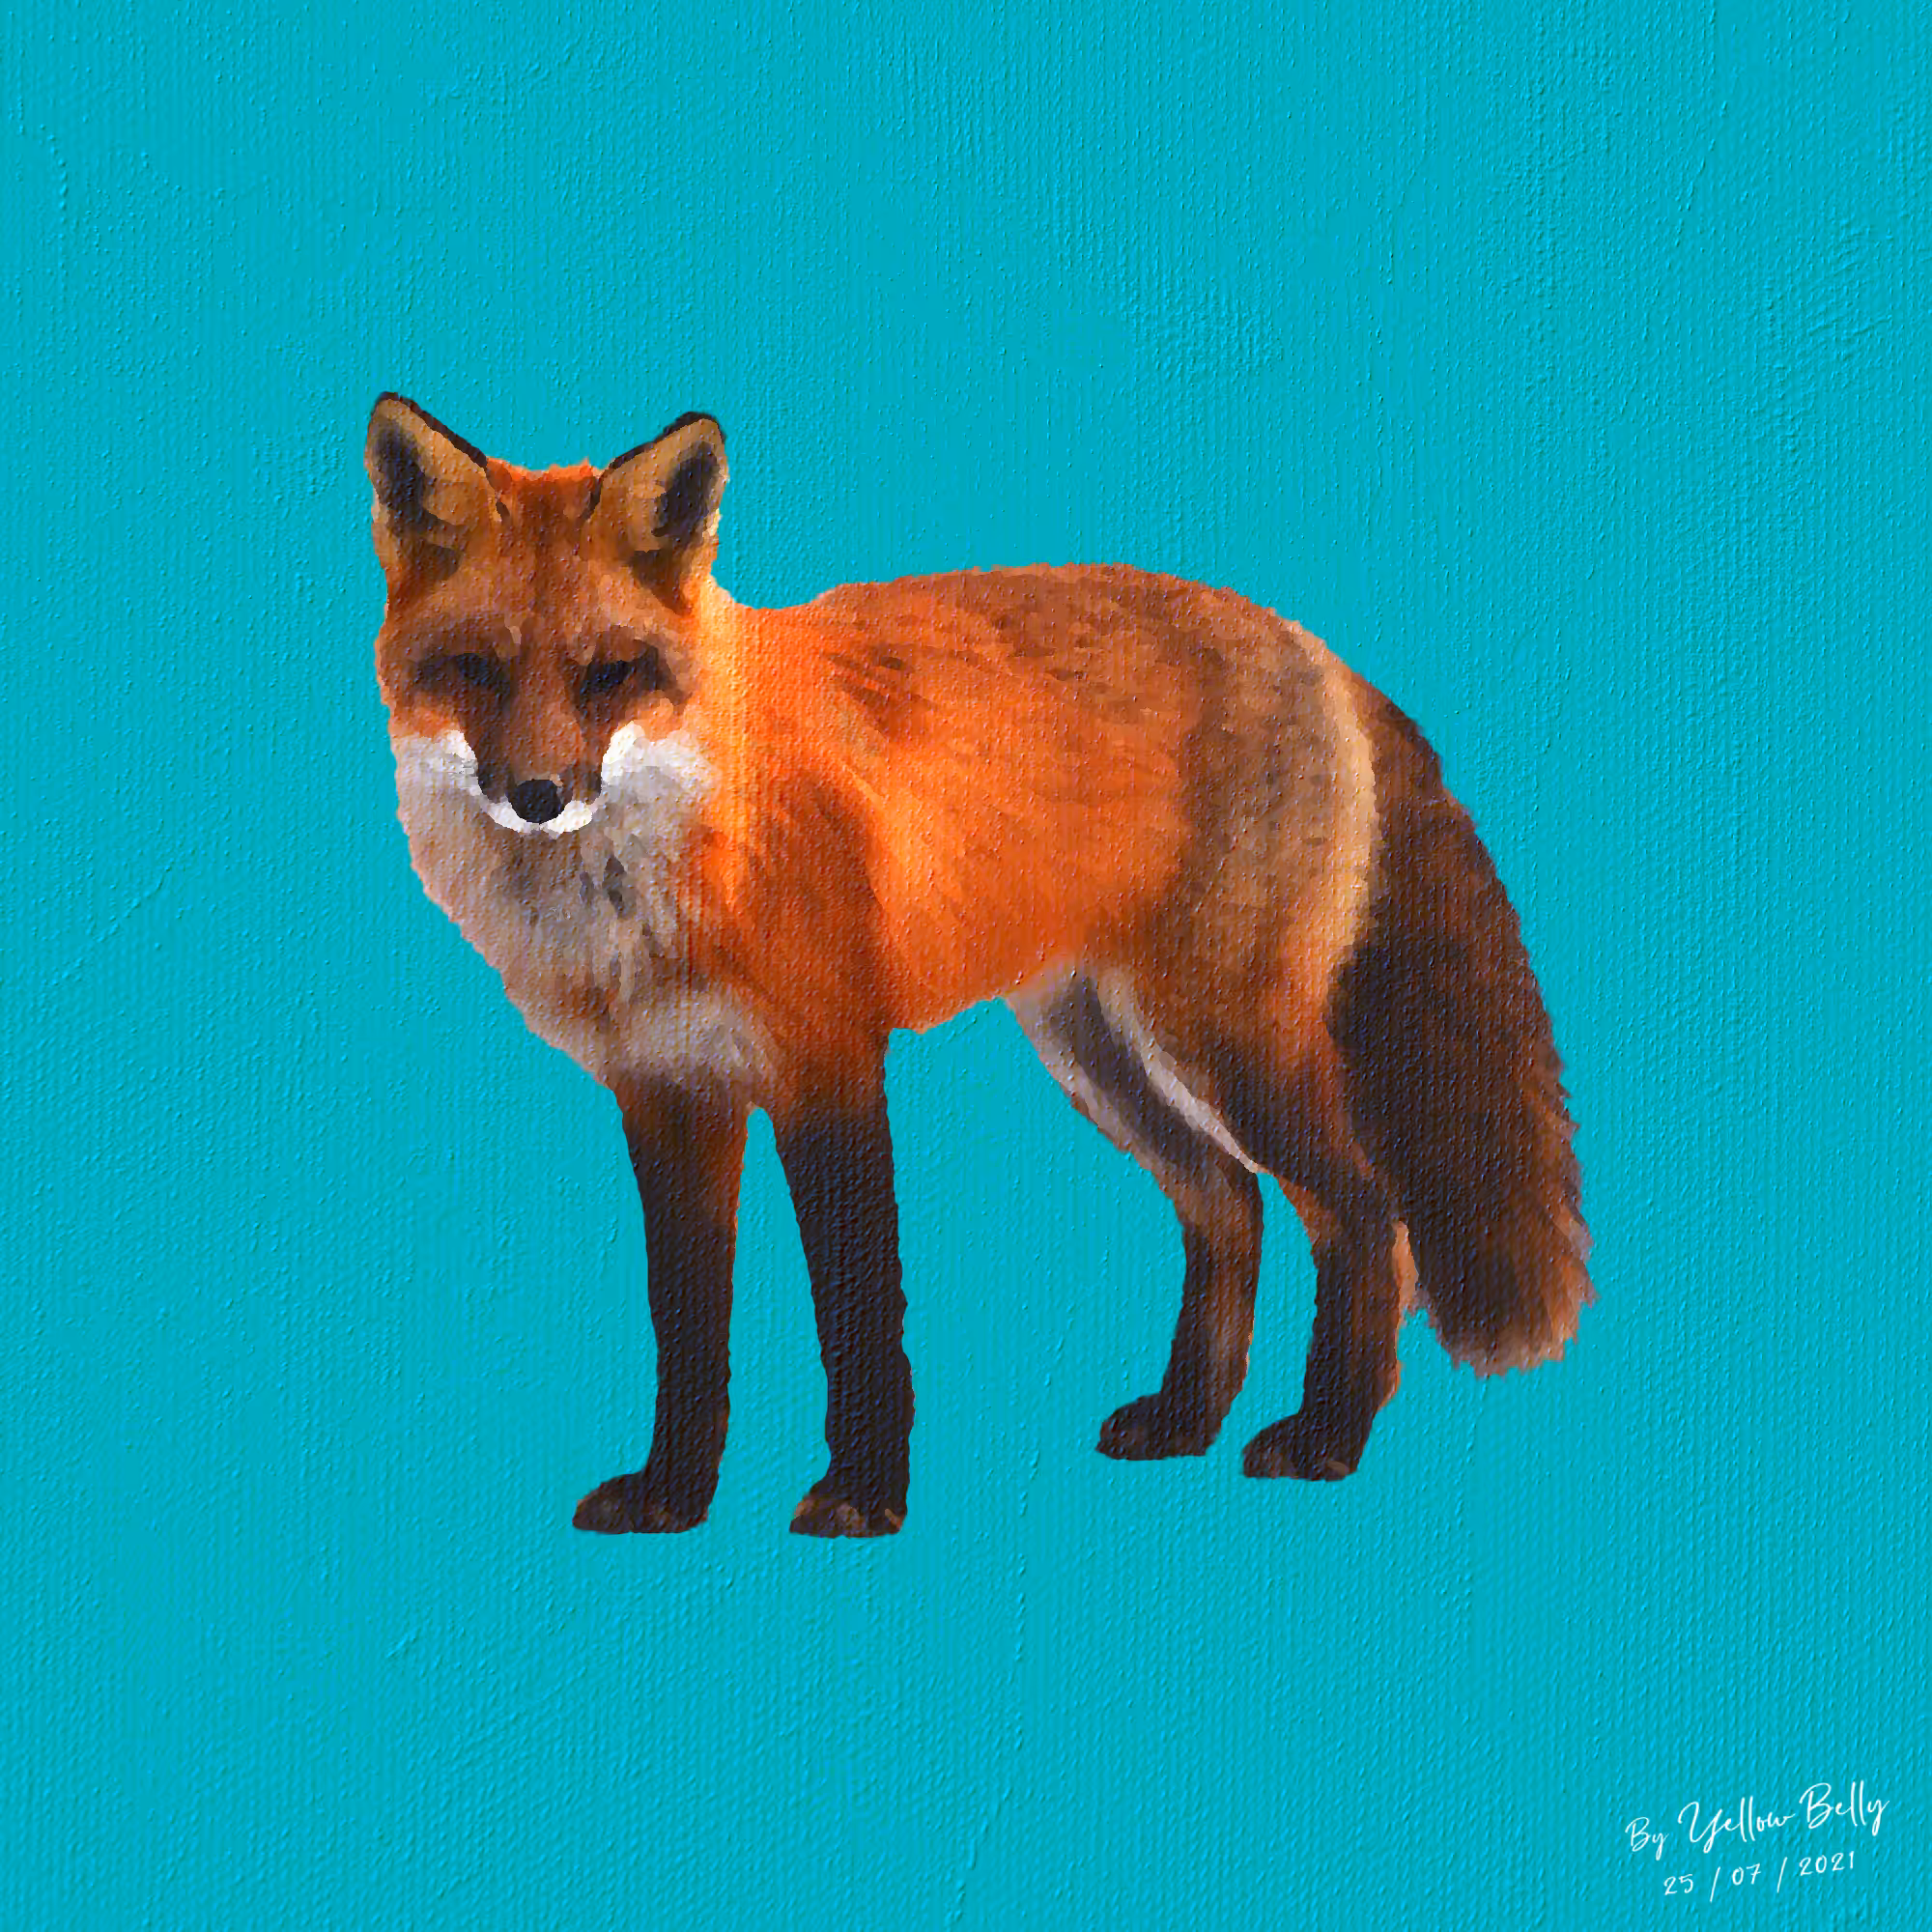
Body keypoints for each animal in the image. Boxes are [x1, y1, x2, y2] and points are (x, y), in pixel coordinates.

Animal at [365, 393, 1590, 1539]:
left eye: (608, 675)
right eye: (476, 670)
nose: (538, 795)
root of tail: (1310, 644)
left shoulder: (827, 1066)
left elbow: (857, 1314)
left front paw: (861, 1496)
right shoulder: (668, 1095)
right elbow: (688, 1328)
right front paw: (673, 1494)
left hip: (1220, 1042)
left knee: (1365, 1215)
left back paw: (1326, 1434)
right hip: (1099, 1054)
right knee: (1229, 1205)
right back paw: (1184, 1417)